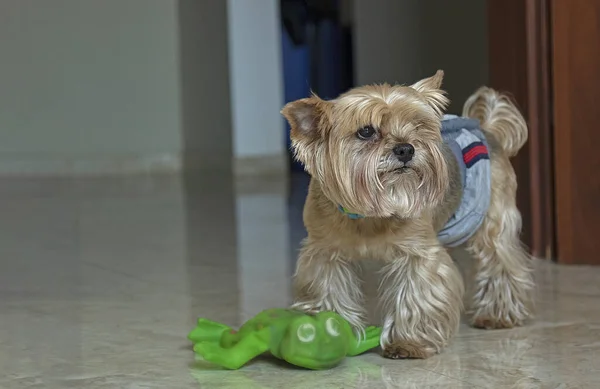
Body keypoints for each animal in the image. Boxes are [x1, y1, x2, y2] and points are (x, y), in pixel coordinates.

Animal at [280, 70, 536, 358]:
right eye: (366, 131)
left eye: (418, 125)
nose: (406, 148)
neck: (371, 212)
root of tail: (487, 129)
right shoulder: (324, 253)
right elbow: (327, 287)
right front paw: (330, 331)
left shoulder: (419, 253)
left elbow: (418, 293)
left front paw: (408, 342)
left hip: (492, 216)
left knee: (501, 260)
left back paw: (498, 314)